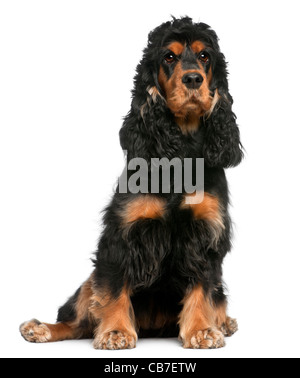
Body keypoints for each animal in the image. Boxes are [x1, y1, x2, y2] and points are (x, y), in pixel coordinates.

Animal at [19, 17, 243, 348]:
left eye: (205, 56)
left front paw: (202, 329)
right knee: (77, 321)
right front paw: (115, 331)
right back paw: (41, 328)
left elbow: (203, 287)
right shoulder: (122, 233)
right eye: (169, 57)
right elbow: (114, 287)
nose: (193, 79)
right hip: (89, 283)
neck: (181, 150)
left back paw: (223, 322)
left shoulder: (206, 234)